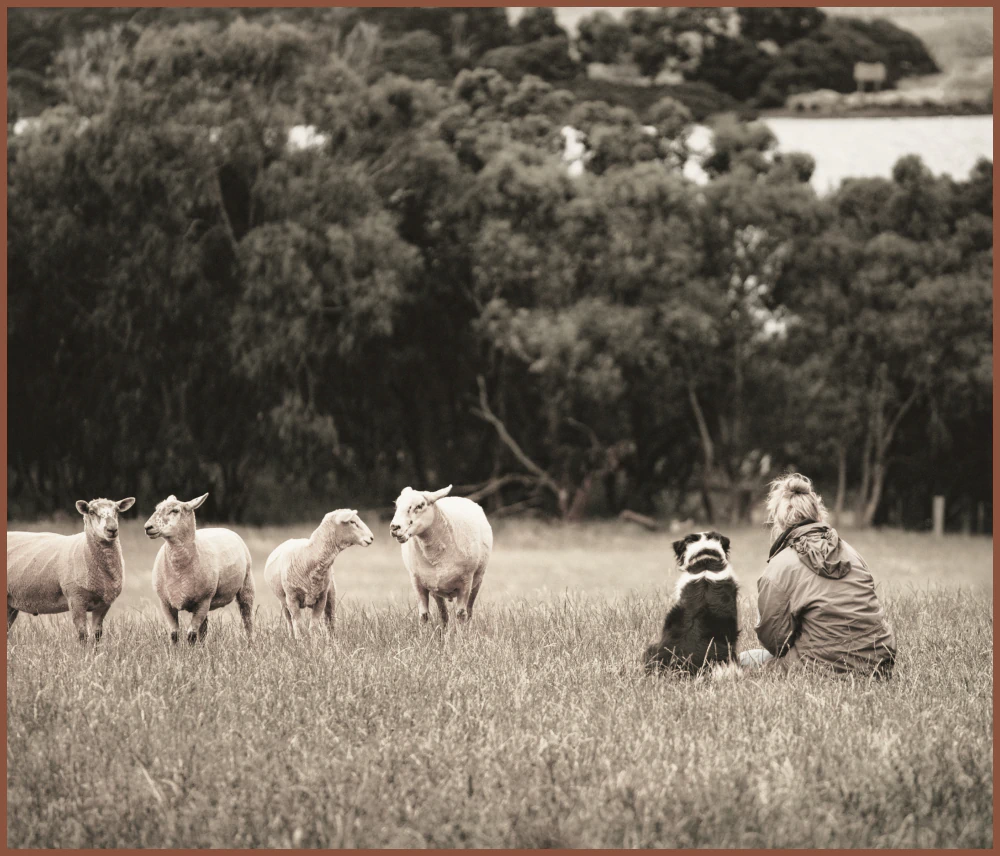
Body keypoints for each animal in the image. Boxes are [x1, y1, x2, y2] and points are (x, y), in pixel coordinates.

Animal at [7, 497, 136, 642]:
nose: (112, 529)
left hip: (10, 602)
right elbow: (82, 635)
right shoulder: (76, 598)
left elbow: (97, 634)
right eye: (91, 511)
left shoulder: (104, 604)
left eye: (117, 510)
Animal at [144, 493, 254, 644]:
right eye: (157, 508)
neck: (179, 571)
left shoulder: (204, 600)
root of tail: (223, 528)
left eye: (175, 511)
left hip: (246, 585)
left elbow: (191, 635)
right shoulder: (166, 603)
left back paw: (251, 644)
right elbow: (174, 635)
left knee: (247, 618)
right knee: (204, 629)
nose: (148, 527)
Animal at [264, 509, 374, 639]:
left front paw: (315, 642)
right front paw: (301, 641)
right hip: (283, 601)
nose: (371, 537)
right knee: (290, 622)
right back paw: (292, 638)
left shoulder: (321, 598)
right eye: (352, 522)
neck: (307, 556)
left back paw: (332, 639)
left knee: (330, 620)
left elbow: (314, 627)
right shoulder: (291, 598)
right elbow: (299, 626)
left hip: (331, 593)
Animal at [389, 485, 492, 625]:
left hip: (477, 581)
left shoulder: (466, 581)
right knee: (443, 613)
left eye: (420, 505)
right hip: (434, 587)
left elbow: (461, 615)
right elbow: (424, 616)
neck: (434, 555)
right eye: (397, 505)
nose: (394, 527)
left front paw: (462, 631)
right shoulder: (417, 582)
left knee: (469, 610)